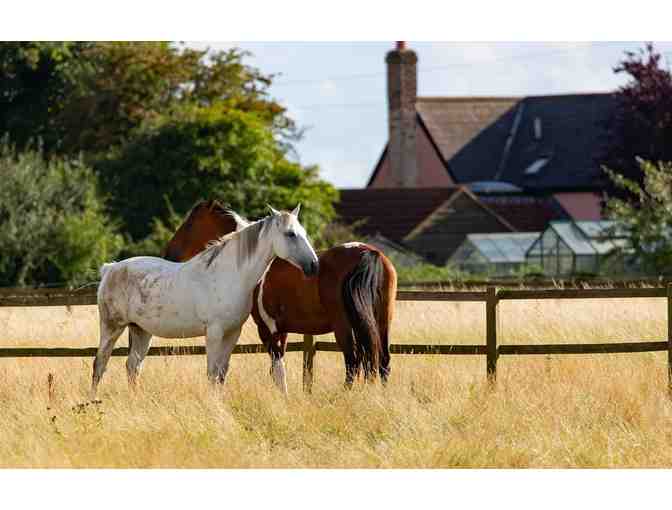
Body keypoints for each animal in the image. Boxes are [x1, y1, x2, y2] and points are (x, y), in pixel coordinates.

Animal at [91, 205, 318, 396]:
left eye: (303, 233)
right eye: (290, 234)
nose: (314, 265)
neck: (230, 275)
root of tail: (110, 269)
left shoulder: (232, 333)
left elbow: (222, 373)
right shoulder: (214, 333)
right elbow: (212, 373)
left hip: (141, 331)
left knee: (132, 366)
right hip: (112, 327)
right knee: (99, 364)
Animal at [163, 201, 396, 388]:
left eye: (189, 224)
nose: (169, 253)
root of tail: (368, 252)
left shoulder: (267, 329)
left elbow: (277, 370)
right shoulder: (281, 330)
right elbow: (277, 370)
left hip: (344, 325)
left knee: (352, 362)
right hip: (382, 320)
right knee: (382, 362)